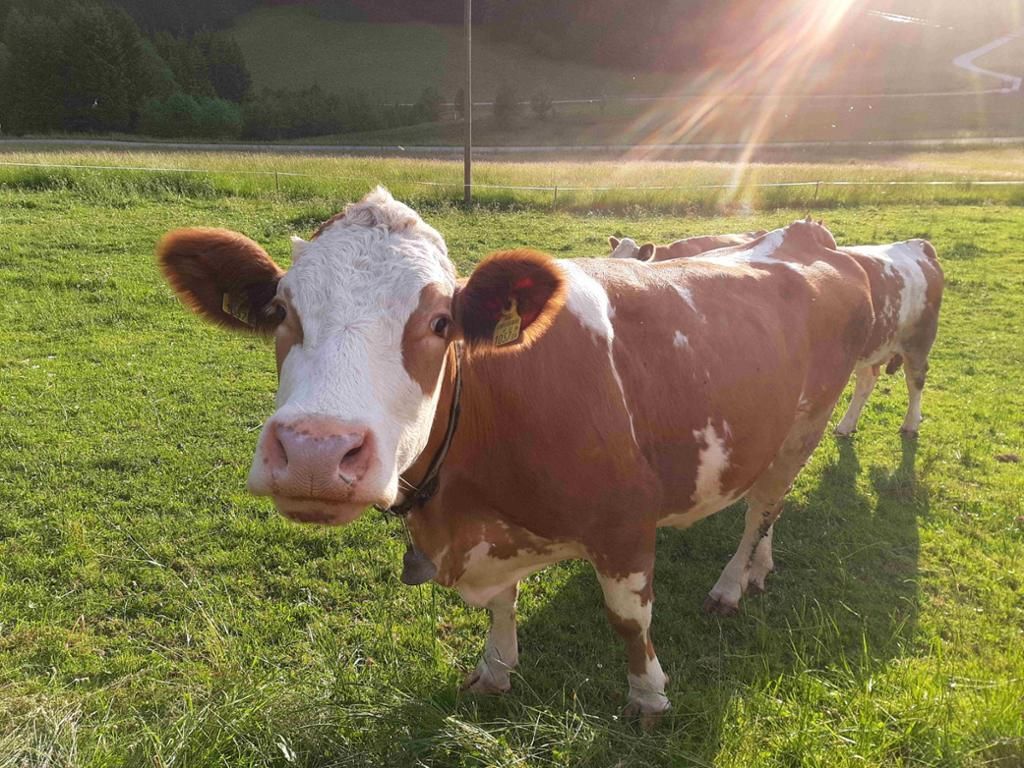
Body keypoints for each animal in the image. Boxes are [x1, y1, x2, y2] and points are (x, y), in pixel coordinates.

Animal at [158, 188, 874, 724]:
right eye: (283, 310)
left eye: (441, 323)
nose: (315, 451)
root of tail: (814, 241)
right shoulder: (490, 530)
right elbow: (503, 603)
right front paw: (495, 669)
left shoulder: (624, 522)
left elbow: (629, 620)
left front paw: (648, 697)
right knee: (769, 507)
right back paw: (759, 569)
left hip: (804, 424)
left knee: (763, 506)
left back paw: (731, 583)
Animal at [607, 229, 944, 436]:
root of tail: (917, 245)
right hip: (874, 347)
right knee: (866, 381)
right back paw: (846, 425)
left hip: (919, 340)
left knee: (916, 381)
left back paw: (911, 423)